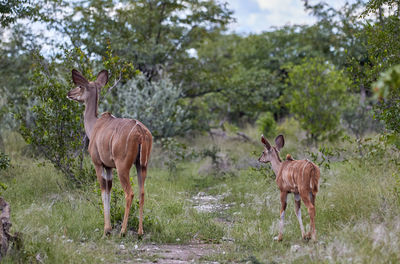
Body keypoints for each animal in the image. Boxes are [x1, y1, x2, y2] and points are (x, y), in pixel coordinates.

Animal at [67, 69, 152, 236]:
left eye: (80, 86)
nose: (69, 93)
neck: (94, 126)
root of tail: (140, 132)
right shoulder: (109, 167)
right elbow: (109, 189)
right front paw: (109, 227)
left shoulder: (98, 164)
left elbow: (103, 190)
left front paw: (107, 229)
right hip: (141, 165)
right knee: (142, 193)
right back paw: (140, 232)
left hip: (123, 166)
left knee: (129, 193)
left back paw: (123, 231)